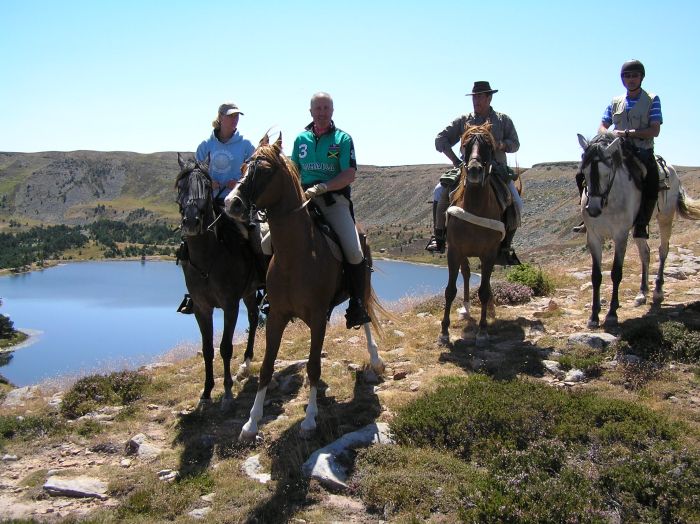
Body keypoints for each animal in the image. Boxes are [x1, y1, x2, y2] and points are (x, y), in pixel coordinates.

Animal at [175, 154, 262, 408]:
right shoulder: (202, 308)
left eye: (206, 186)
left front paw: (227, 392)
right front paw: (205, 393)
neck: (209, 258)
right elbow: (207, 349)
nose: (191, 222)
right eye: (181, 187)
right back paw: (245, 364)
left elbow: (225, 347)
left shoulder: (230, 306)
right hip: (249, 292)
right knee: (254, 318)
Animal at [224, 133, 386, 440]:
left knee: (366, 317)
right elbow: (266, 367)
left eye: (264, 170)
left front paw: (310, 419)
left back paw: (375, 359)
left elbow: (313, 367)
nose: (231, 203)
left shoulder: (317, 318)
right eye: (242, 168)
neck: (296, 255)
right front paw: (251, 422)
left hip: (361, 280)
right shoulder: (276, 316)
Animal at [440, 124, 506, 346]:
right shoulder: (454, 251)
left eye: (488, 146)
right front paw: (444, 332)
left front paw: (483, 331)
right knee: (467, 273)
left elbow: (484, 291)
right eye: (465, 145)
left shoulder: (490, 254)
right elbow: (450, 290)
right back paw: (467, 308)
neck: (476, 206)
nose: (474, 170)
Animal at [576, 133, 700, 326]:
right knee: (645, 253)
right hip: (638, 228)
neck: (609, 200)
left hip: (665, 218)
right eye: (585, 172)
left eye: (606, 173)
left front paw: (612, 313)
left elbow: (616, 272)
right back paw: (642, 293)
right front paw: (594, 316)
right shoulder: (594, 237)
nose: (593, 210)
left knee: (663, 250)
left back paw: (657, 291)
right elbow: (596, 276)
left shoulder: (620, 236)